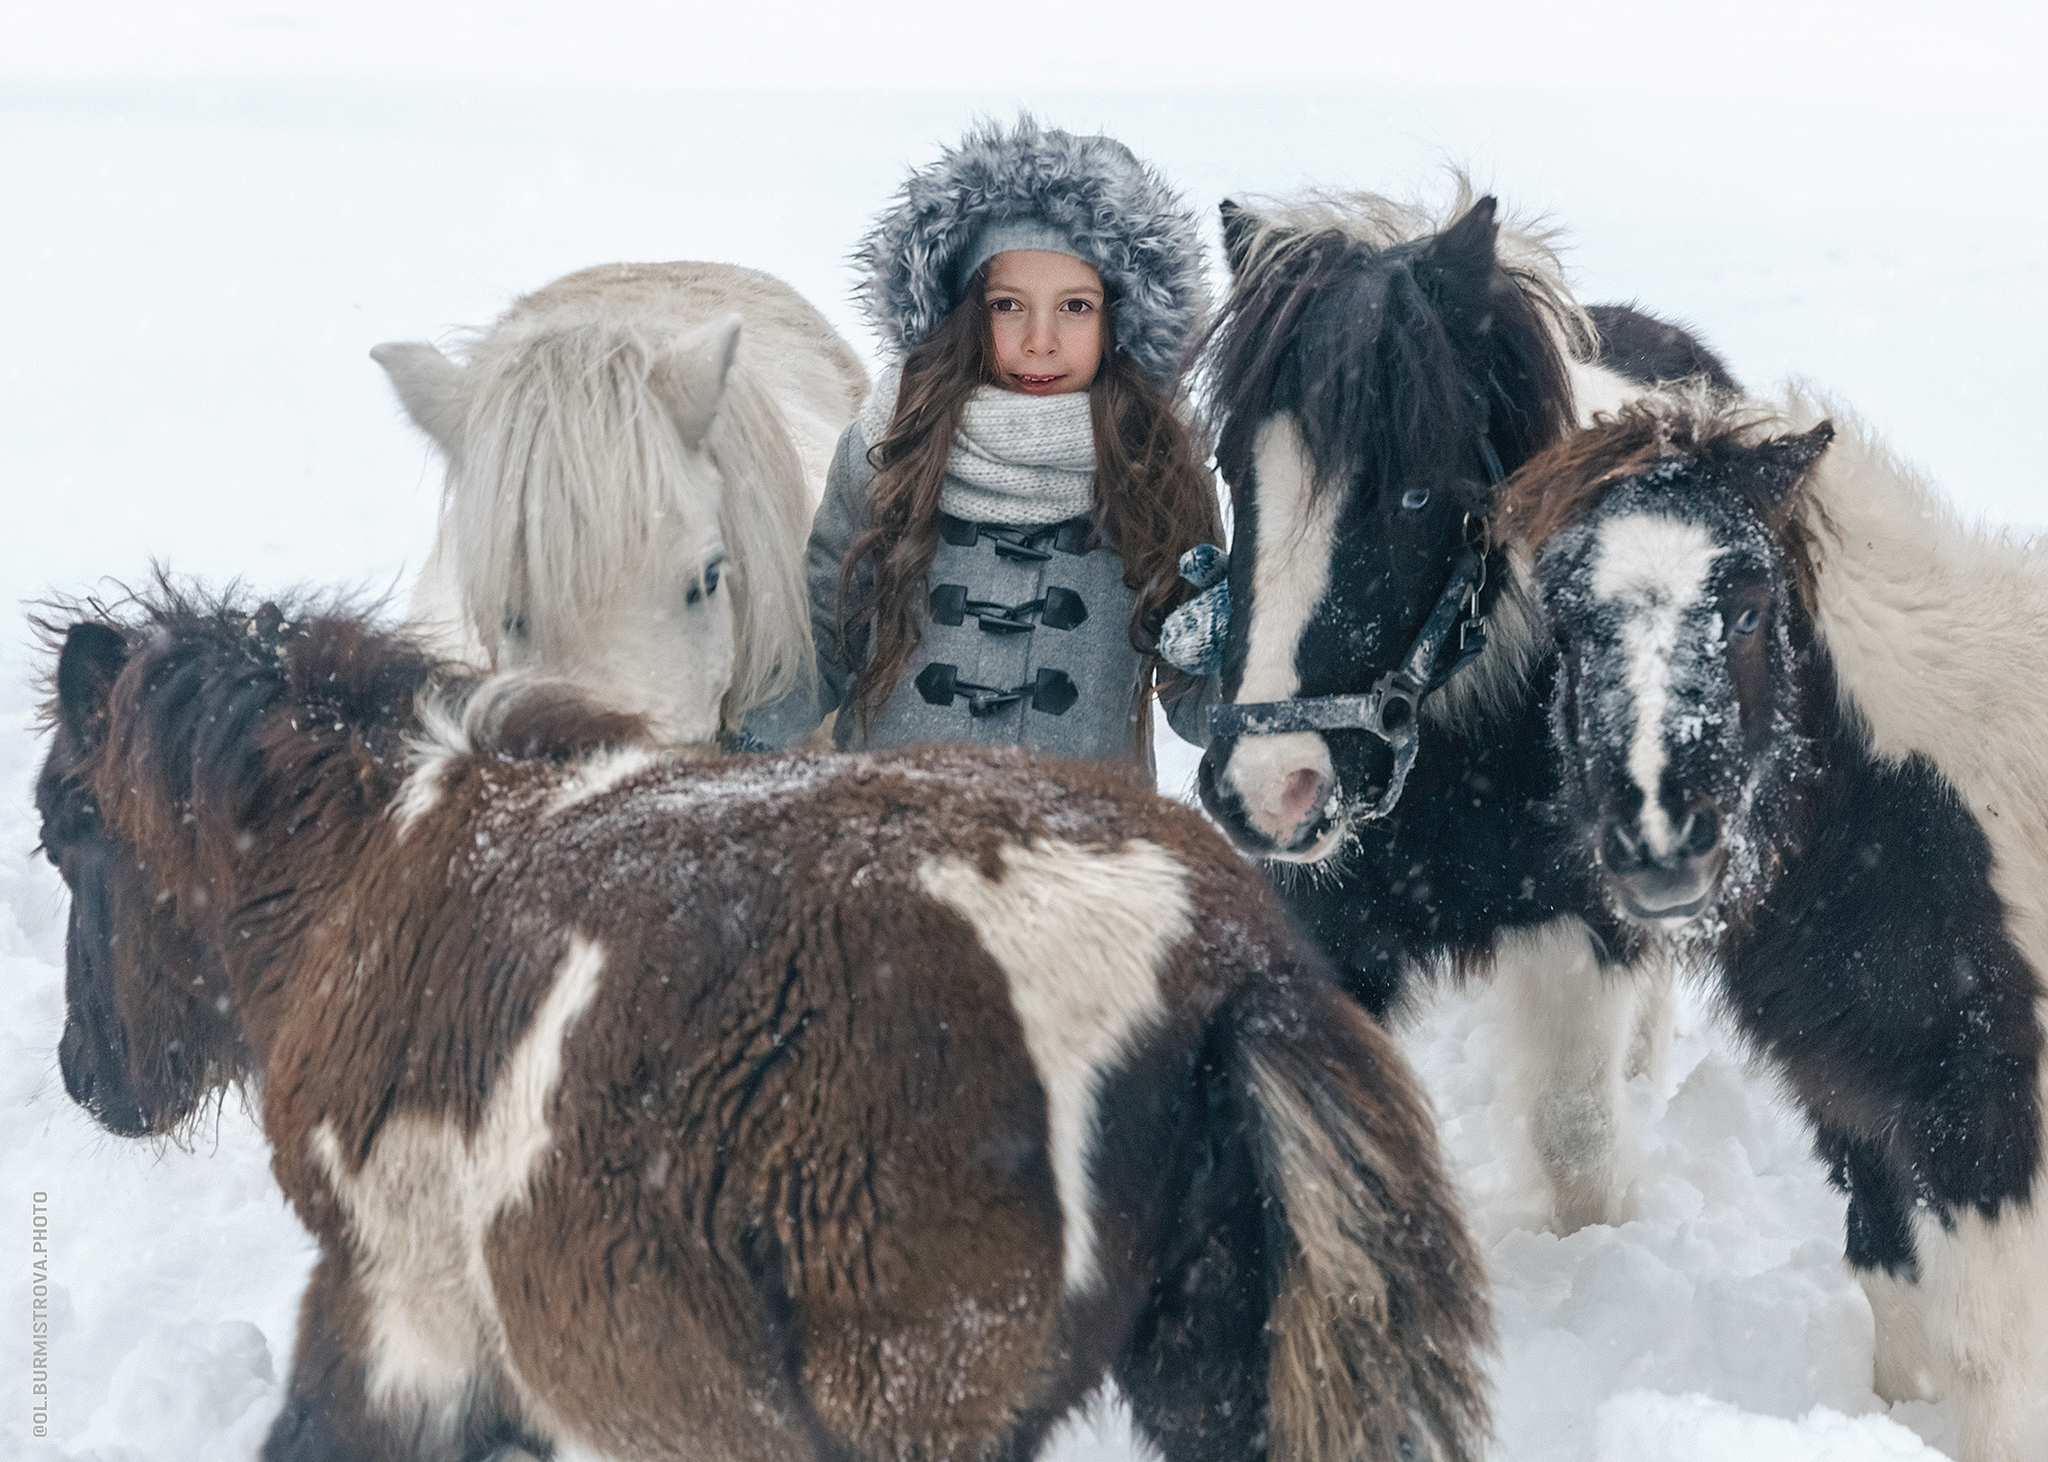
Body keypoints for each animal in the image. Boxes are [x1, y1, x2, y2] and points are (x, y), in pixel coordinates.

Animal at [39, 581, 1499, 1457]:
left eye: (64, 826)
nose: (84, 1073)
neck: (381, 864)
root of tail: (1223, 961)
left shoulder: (396, 1319)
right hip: (1208, 1377)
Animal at [1196, 185, 1736, 1228]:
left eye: (1413, 495)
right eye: (1236, 474)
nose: (1269, 791)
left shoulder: (1583, 928)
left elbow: (1577, 1136)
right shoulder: (1337, 932)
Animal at [1523, 391, 2048, 1457]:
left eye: (1749, 610)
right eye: (1569, 625)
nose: (1660, 842)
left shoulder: (1990, 1120)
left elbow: (1992, 1355)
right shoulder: (1855, 1102)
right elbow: (1890, 1285)